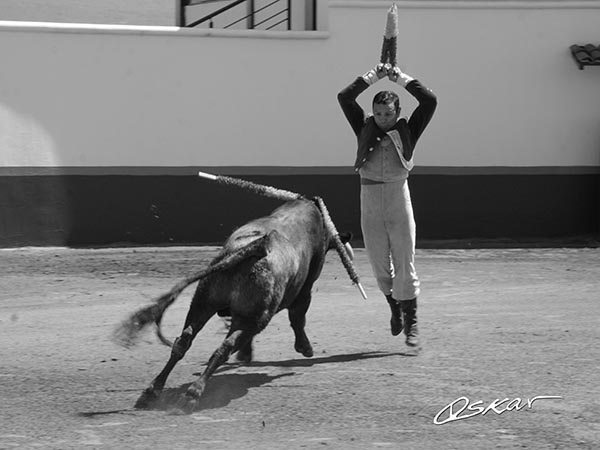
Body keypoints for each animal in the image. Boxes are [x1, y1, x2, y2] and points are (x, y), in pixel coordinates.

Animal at [113, 198, 352, 414]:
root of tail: (256, 246)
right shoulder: (305, 288)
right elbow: (298, 318)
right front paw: (305, 348)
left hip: (203, 301)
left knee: (183, 341)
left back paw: (151, 392)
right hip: (253, 318)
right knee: (223, 348)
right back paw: (193, 394)